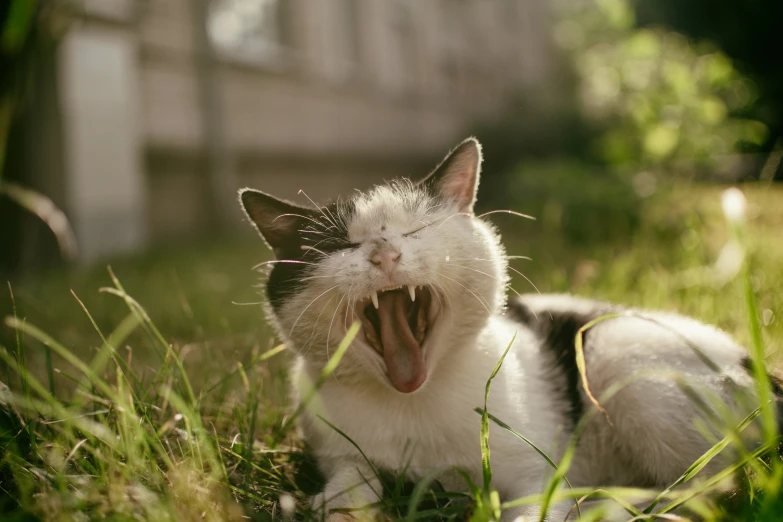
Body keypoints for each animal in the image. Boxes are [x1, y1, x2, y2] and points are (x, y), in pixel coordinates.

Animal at [240, 136, 783, 516]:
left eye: (417, 231)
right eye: (340, 247)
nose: (384, 254)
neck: (412, 404)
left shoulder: (535, 478)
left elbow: (535, 508)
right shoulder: (337, 449)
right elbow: (353, 478)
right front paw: (339, 503)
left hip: (624, 361)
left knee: (715, 488)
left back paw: (612, 506)